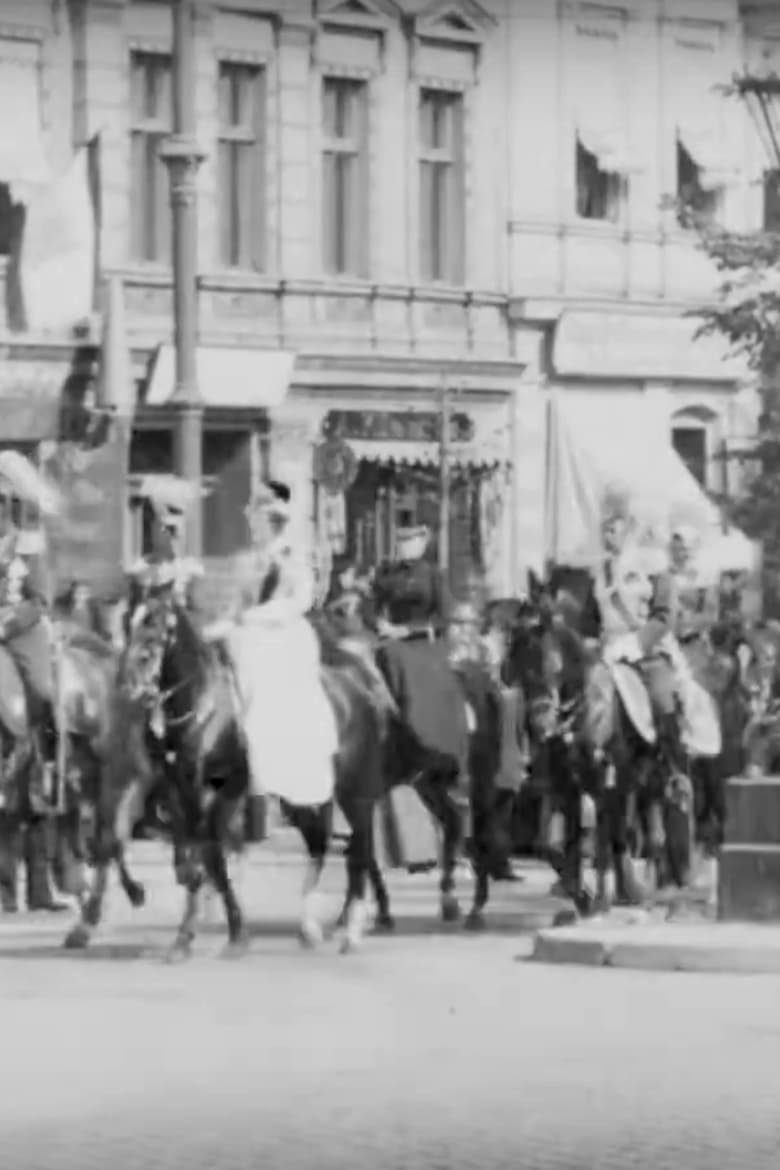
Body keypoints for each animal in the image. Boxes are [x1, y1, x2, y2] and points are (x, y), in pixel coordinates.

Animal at [68, 594, 385, 959]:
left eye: (152, 633)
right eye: (129, 625)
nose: (126, 686)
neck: (202, 712)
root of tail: (359, 689)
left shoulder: (214, 789)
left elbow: (209, 854)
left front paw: (221, 932)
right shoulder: (173, 789)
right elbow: (198, 853)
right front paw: (197, 933)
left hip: (353, 790)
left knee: (360, 848)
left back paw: (351, 930)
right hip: (300, 796)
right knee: (321, 844)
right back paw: (312, 929)